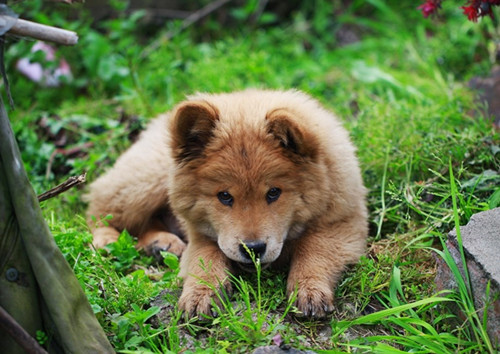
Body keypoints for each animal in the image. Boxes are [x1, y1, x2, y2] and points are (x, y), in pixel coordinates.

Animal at [86, 88, 368, 318]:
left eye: (274, 193)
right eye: (224, 196)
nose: (253, 249)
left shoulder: (342, 223)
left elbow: (314, 249)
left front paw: (309, 288)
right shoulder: (202, 232)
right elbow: (206, 257)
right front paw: (201, 293)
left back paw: (160, 244)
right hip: (146, 182)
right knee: (98, 209)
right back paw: (107, 241)